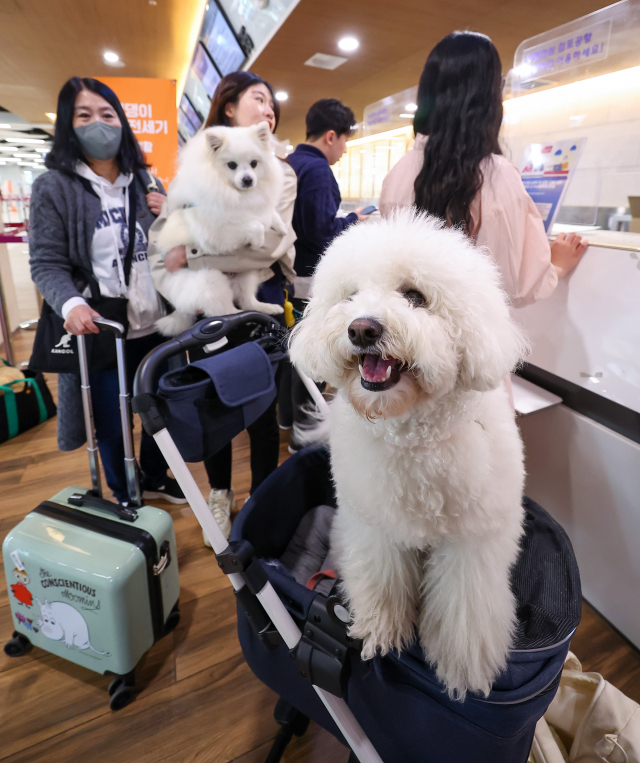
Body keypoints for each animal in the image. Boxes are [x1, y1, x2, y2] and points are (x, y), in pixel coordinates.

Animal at [292, 207, 528, 700]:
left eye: (414, 296)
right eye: (351, 296)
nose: (362, 328)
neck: (412, 436)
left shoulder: (470, 544)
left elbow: (464, 611)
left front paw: (462, 667)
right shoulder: (378, 530)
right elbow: (383, 582)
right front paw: (381, 630)